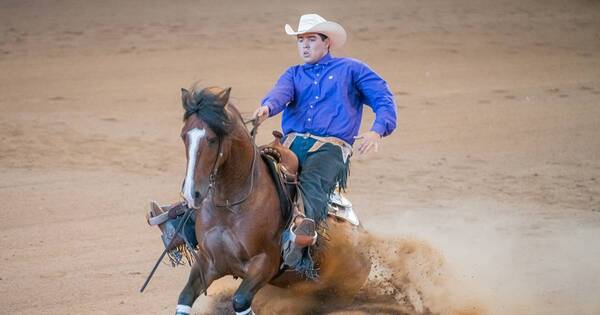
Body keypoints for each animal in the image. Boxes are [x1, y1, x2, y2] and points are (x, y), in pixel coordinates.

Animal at [173, 85, 370, 314]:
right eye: (183, 136)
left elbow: (240, 300)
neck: (230, 206)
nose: (191, 194)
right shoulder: (208, 262)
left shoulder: (265, 263)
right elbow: (185, 296)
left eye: (212, 139)